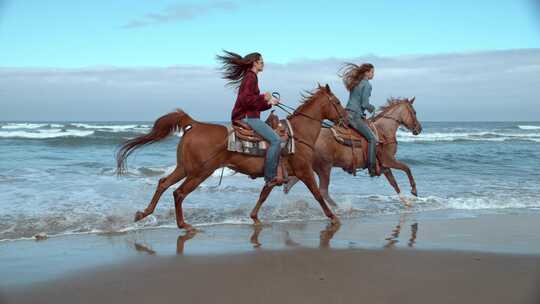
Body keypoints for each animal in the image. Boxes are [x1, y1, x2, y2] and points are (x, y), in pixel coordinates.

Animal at [116, 84, 348, 229]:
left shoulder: (275, 174)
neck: (298, 134)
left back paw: (143, 213)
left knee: (163, 183)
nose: (346, 119)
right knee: (179, 193)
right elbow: (318, 194)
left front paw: (254, 218)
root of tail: (195, 124)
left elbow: (263, 195)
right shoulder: (304, 171)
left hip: (184, 168)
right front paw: (333, 217)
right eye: (336, 101)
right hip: (199, 172)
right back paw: (183, 225)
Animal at [282, 97, 422, 207]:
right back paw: (339, 208)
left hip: (308, 167)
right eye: (414, 112)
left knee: (292, 183)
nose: (419, 129)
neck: (383, 132)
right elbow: (407, 168)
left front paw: (406, 201)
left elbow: (394, 184)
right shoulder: (389, 161)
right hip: (324, 168)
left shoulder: (384, 166)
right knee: (323, 191)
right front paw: (414, 190)